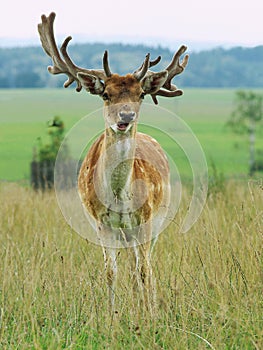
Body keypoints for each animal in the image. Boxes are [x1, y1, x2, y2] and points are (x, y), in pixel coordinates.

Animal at [37, 12, 190, 310]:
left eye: (140, 94)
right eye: (106, 94)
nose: (126, 117)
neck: (119, 195)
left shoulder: (146, 217)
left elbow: (145, 270)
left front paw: (149, 312)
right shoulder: (101, 222)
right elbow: (110, 271)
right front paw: (113, 312)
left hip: (155, 221)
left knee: (144, 264)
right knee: (131, 262)